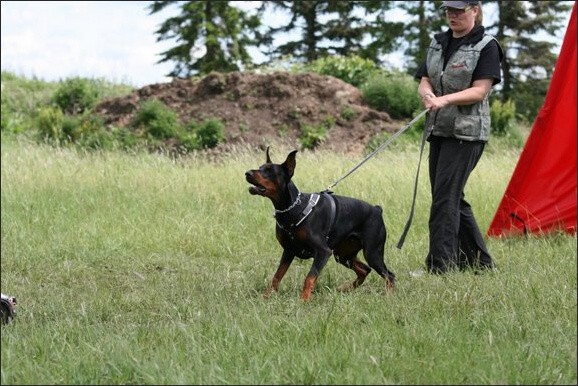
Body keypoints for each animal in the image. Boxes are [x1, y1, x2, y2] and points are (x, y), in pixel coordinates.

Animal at [243, 148, 396, 302]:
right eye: (260, 167)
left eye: (269, 171)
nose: (247, 173)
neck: (293, 207)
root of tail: (377, 210)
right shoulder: (288, 250)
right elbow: (276, 277)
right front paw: (265, 298)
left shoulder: (323, 251)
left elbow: (309, 277)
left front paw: (303, 300)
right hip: (342, 255)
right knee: (365, 270)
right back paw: (345, 288)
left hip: (372, 253)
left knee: (389, 275)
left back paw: (389, 298)